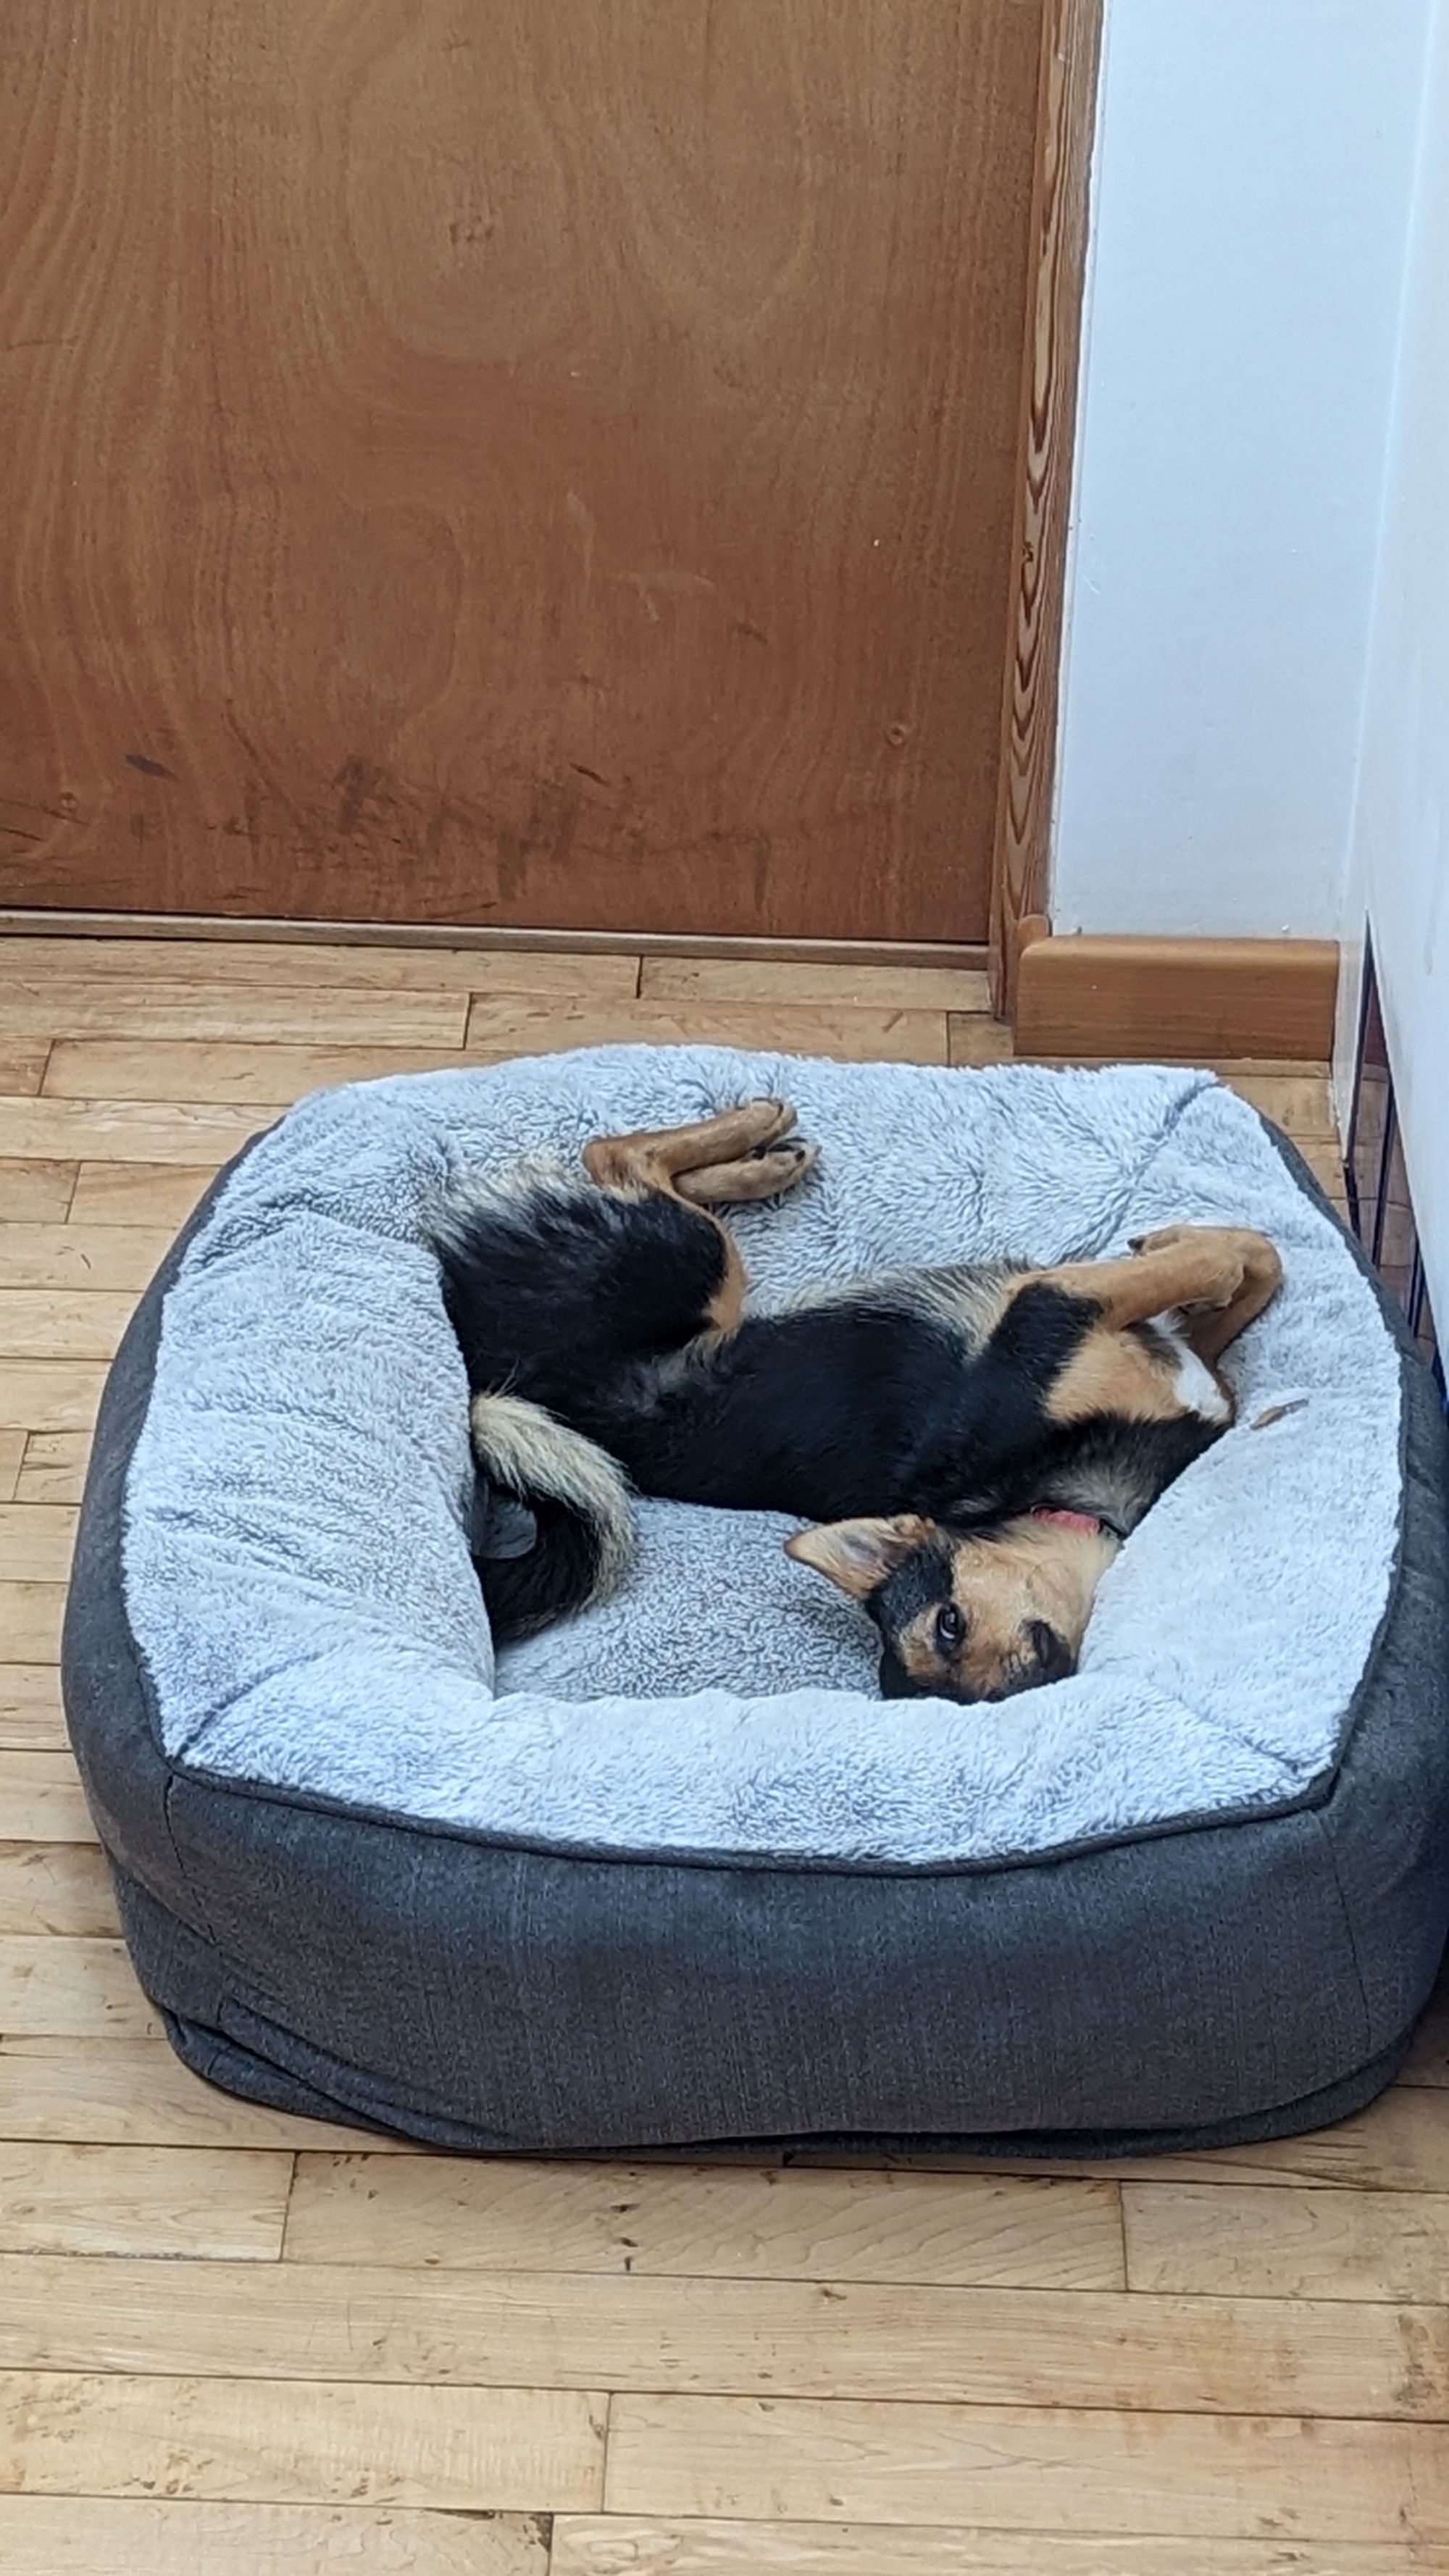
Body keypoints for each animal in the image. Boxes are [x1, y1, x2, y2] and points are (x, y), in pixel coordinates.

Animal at [430, 1097, 1274, 1699]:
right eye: (950, 1634)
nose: (1038, 1678)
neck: (1048, 1491)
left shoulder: (1146, 1344)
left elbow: (1240, 1283)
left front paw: (1195, 1248)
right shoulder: (1053, 1304)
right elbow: (1223, 1264)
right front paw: (1209, 1248)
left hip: (705, 1278)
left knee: (621, 1159)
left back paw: (764, 1150)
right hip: (686, 1262)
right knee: (616, 1157)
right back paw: (757, 1138)